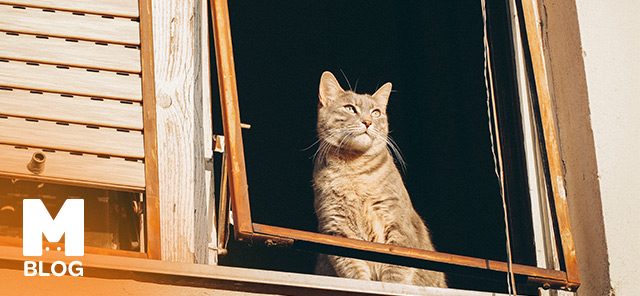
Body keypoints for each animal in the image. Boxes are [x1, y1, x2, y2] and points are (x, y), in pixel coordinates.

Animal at [314, 70, 444, 288]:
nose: (368, 121)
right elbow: (355, 274)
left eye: (376, 112)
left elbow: (395, 275)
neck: (353, 170)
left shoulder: (398, 228)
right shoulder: (337, 229)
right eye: (350, 108)